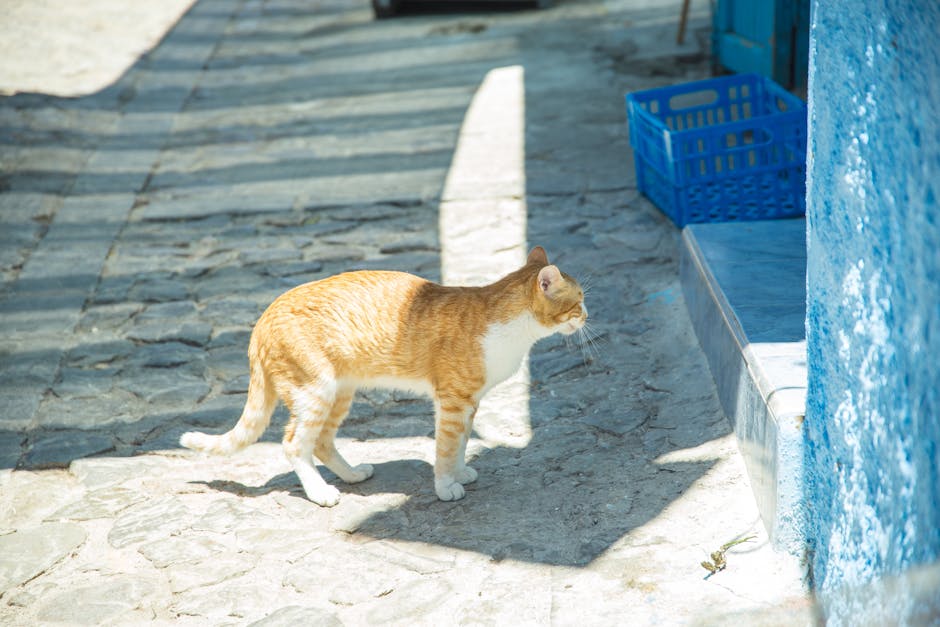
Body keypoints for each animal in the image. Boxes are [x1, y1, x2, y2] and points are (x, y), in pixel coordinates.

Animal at [180, 245, 584, 506]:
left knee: (322, 442)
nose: (587, 315)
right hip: (315, 392)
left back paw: (352, 475)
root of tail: (264, 316)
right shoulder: (453, 402)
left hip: (339, 392)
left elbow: (461, 444)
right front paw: (445, 486)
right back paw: (321, 493)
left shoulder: (470, 403)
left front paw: (460, 472)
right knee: (294, 444)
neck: (511, 328)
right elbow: (445, 447)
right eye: (579, 301)